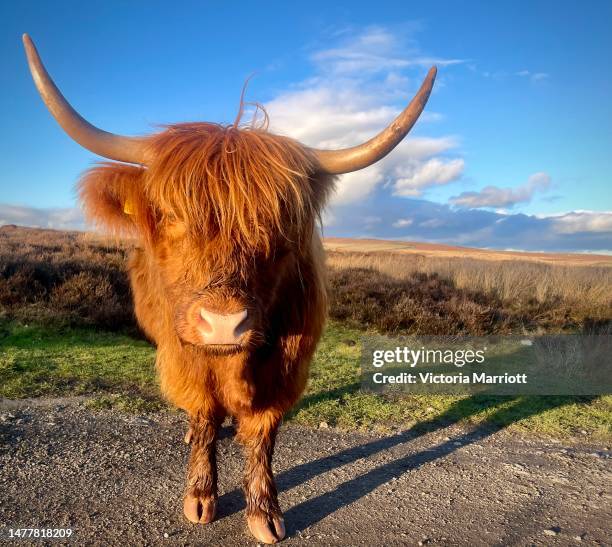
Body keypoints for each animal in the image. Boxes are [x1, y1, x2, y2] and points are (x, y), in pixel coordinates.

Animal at [23, 34, 436, 544]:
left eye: (279, 225)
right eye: (170, 214)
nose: (224, 324)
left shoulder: (287, 366)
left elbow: (263, 434)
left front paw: (264, 511)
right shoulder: (183, 353)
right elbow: (203, 416)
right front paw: (201, 496)